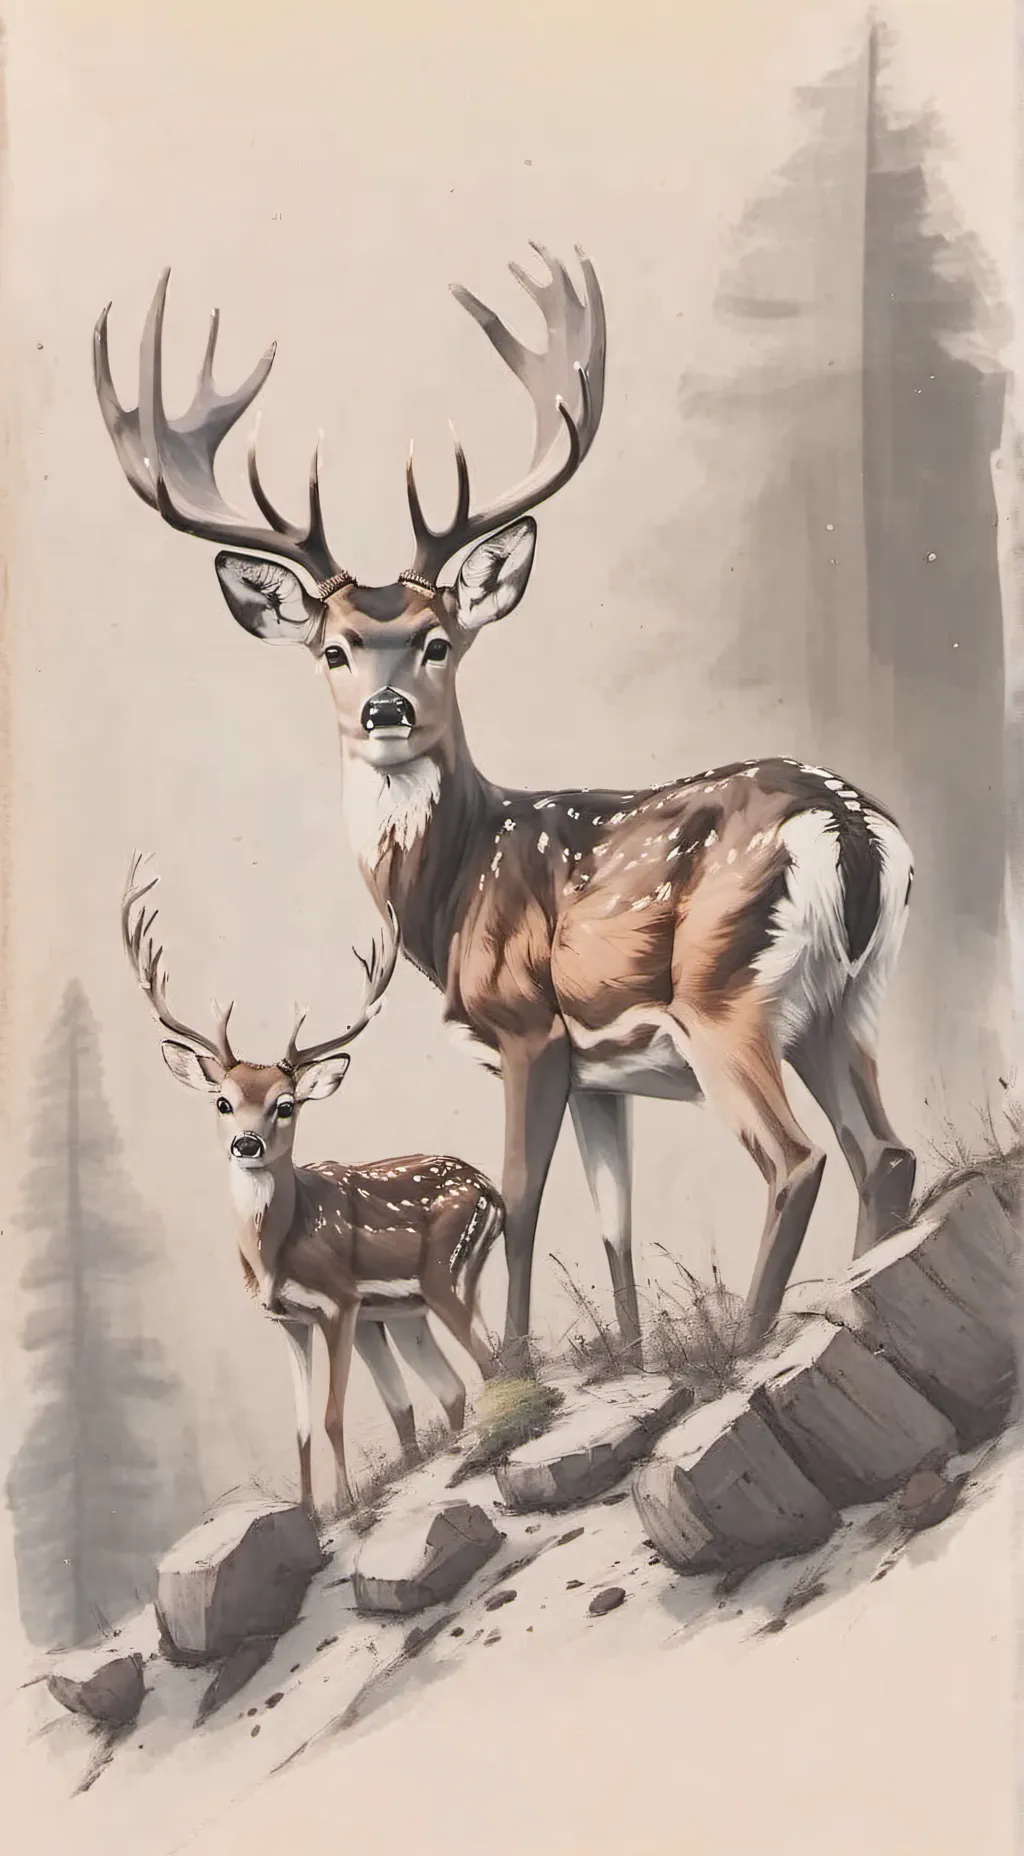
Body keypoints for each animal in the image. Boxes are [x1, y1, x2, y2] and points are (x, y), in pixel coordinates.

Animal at [96, 251, 918, 1378]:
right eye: (333, 647)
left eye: (438, 639)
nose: (386, 712)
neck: (448, 900)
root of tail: (855, 831)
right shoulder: (604, 1071)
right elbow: (611, 1219)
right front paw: (628, 1353)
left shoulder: (528, 1027)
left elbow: (524, 1202)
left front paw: (520, 1369)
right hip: (850, 1003)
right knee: (887, 1151)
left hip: (727, 1000)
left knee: (797, 1161)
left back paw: (752, 1338)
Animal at [120, 854, 501, 1515]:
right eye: (222, 1101)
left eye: (287, 1104)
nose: (246, 1144)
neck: (273, 1256)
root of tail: (493, 1193)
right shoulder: (288, 1321)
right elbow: (302, 1426)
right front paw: (307, 1512)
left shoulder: (340, 1303)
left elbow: (331, 1415)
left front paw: (345, 1505)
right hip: (406, 1310)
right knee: (454, 1386)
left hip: (446, 1274)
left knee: (490, 1360)